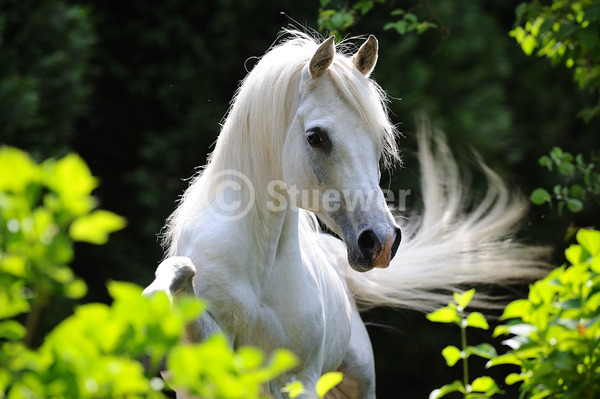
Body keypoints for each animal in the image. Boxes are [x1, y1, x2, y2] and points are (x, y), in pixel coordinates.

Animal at [144, 32, 548, 399]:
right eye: (316, 137)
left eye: (379, 139)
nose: (381, 242)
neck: (257, 266)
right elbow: (181, 273)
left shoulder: (299, 382)